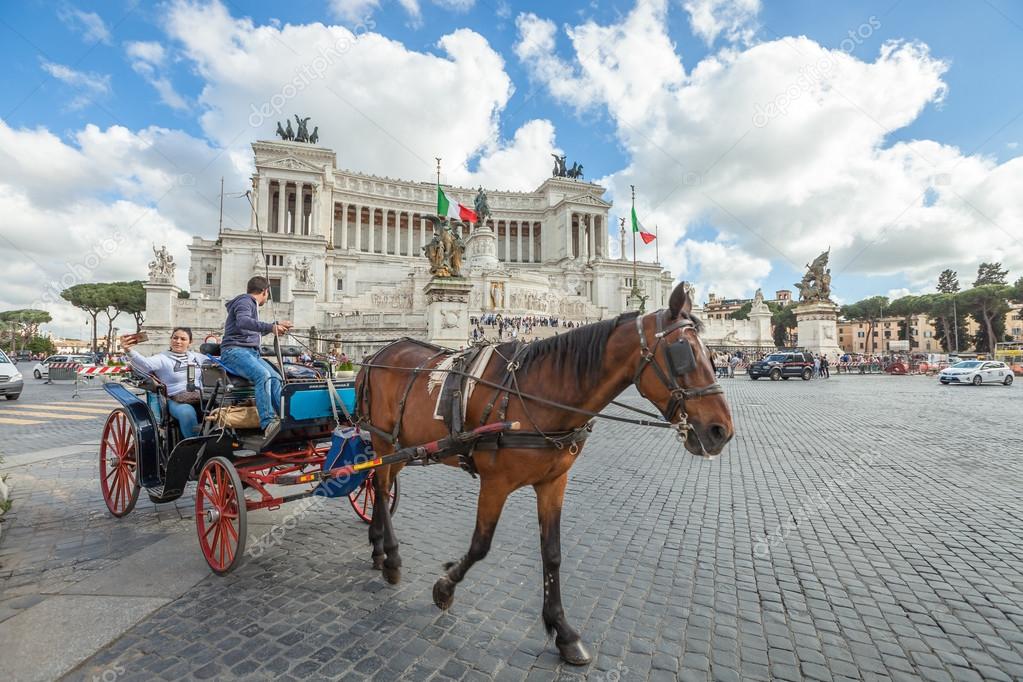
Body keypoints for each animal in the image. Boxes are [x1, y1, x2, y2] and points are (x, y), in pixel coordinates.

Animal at [356, 280, 732, 662]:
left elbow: (552, 553)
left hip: (400, 445)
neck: (537, 392)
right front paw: (444, 588)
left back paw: (376, 547)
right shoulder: (495, 483)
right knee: (382, 491)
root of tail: (378, 353)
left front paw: (563, 631)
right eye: (683, 353)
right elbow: (480, 545)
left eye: (711, 354)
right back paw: (392, 559)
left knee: (377, 484)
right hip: (382, 440)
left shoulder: (554, 482)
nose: (721, 431)